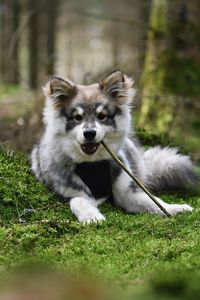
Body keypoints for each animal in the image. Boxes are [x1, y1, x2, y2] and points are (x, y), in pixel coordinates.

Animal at [31, 70, 195, 223]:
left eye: (102, 116)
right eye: (77, 117)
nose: (89, 133)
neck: (93, 164)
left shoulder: (126, 194)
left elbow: (153, 201)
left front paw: (174, 208)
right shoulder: (75, 194)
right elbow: (78, 201)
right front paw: (92, 216)